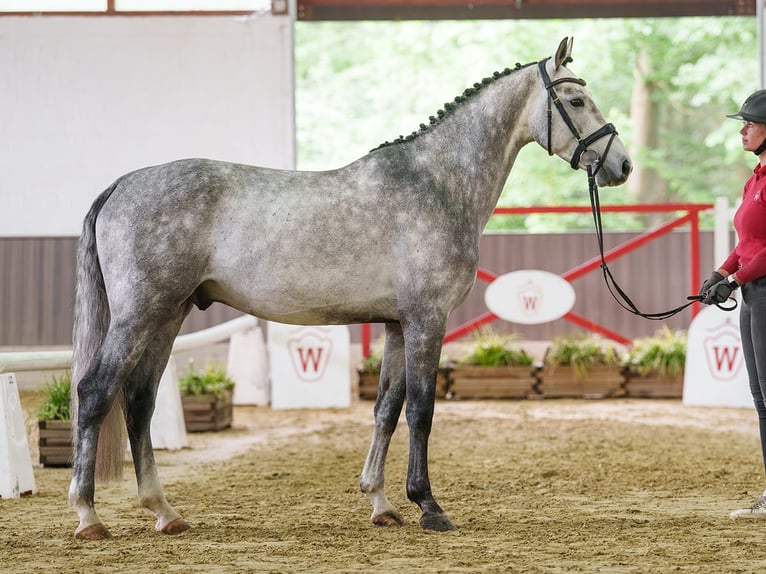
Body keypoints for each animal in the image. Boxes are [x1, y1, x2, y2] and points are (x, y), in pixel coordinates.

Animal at [69, 37, 632, 540]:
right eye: (576, 100)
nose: (622, 165)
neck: (437, 183)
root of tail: (121, 185)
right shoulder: (427, 321)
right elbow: (422, 410)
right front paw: (428, 505)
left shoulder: (398, 325)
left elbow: (387, 408)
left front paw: (381, 503)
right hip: (140, 314)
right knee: (96, 392)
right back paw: (88, 515)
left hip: (169, 314)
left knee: (139, 401)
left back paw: (165, 513)